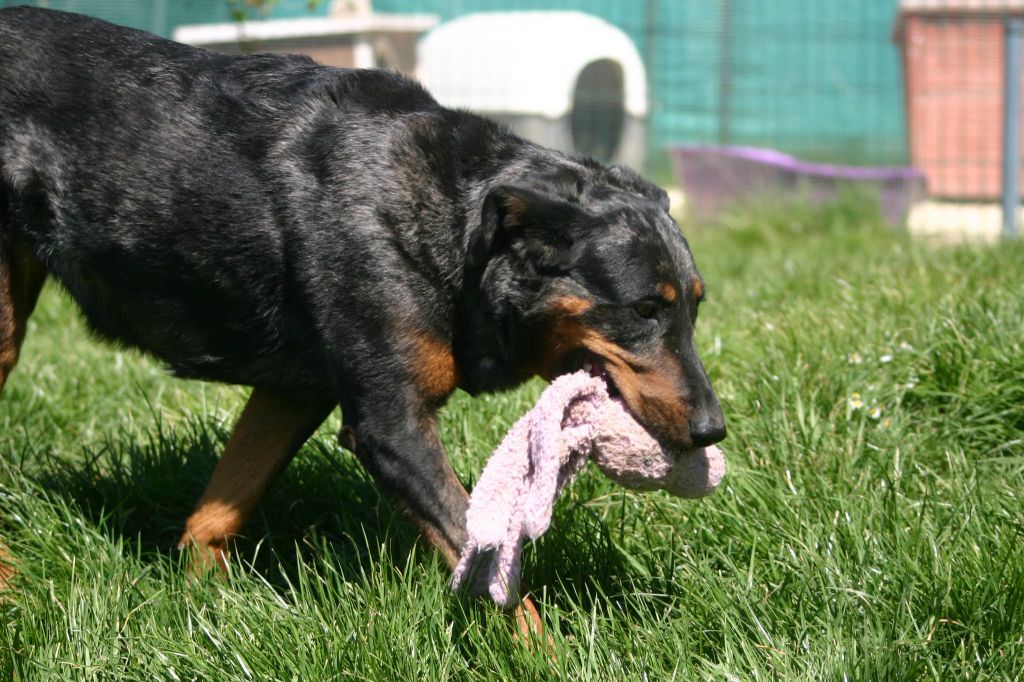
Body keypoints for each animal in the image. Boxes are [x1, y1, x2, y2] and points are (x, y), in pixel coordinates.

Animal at [0, 6, 729, 602]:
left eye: (694, 308)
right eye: (643, 310)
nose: (713, 431)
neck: (454, 220)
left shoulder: (293, 390)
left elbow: (218, 508)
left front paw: (204, 602)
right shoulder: (393, 428)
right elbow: (488, 566)